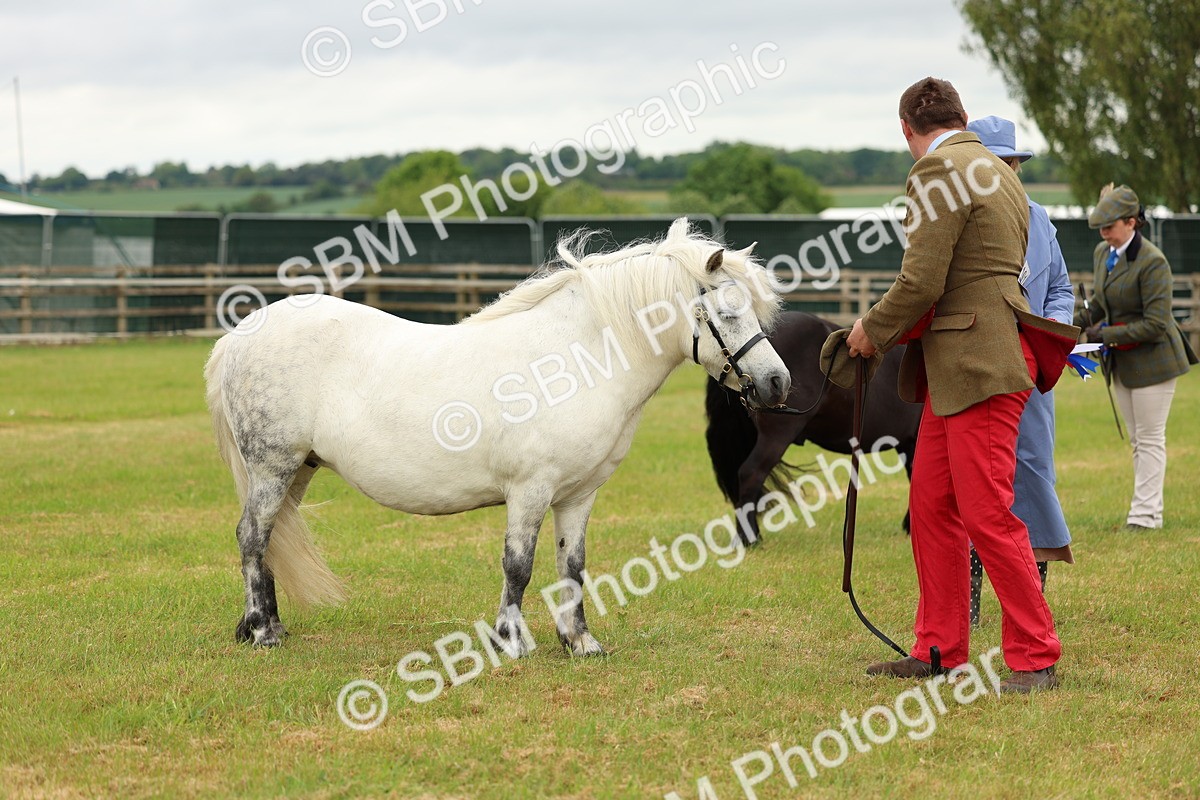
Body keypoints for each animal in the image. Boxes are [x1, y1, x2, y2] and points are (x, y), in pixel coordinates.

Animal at [205, 218, 791, 655]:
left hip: (298, 469)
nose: (777, 383)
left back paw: (265, 625)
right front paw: (512, 641)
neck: (576, 360)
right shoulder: (530, 490)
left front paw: (579, 642)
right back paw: (262, 631)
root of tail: (239, 335)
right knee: (252, 537)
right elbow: (519, 566)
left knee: (267, 538)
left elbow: (571, 566)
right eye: (727, 312)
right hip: (272, 466)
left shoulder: (578, 495)